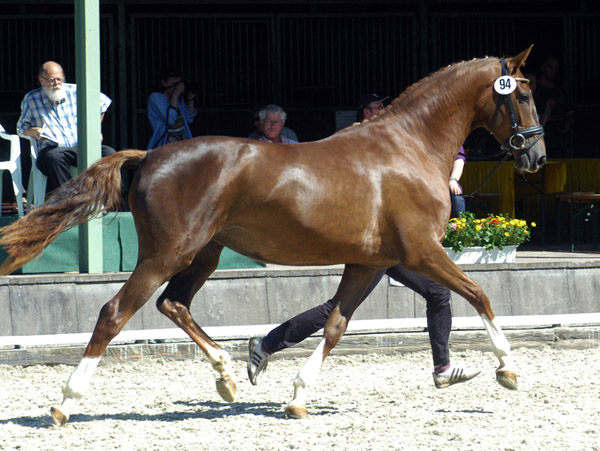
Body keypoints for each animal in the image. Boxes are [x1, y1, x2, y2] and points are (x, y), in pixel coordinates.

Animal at [0, 47, 544, 426]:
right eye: (522, 94)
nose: (535, 156)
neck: (408, 145)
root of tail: (151, 155)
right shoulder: (423, 252)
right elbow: (479, 294)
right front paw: (506, 370)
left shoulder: (369, 262)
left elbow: (335, 325)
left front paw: (298, 398)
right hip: (166, 253)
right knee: (116, 312)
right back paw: (66, 403)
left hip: (203, 254)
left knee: (174, 304)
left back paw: (227, 375)